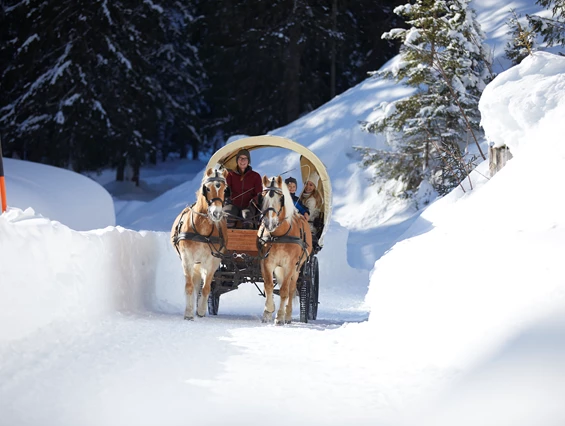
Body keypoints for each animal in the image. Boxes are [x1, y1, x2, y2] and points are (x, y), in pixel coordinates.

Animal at [171, 168, 228, 322]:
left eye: (224, 189)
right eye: (207, 188)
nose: (216, 213)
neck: (202, 230)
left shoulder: (212, 260)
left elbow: (207, 287)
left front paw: (201, 310)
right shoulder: (187, 259)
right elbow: (190, 286)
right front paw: (189, 313)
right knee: (195, 284)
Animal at [256, 175, 310, 324]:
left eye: (281, 199)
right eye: (262, 197)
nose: (269, 223)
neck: (279, 236)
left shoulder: (290, 265)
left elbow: (284, 290)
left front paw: (280, 317)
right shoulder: (267, 262)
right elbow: (268, 285)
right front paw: (268, 311)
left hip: (297, 268)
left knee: (291, 289)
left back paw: (288, 315)